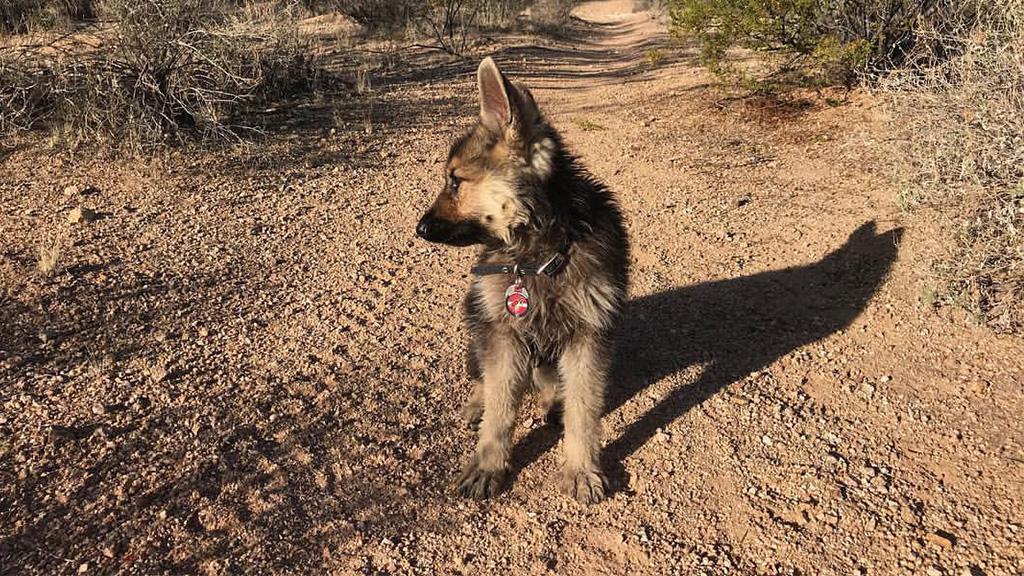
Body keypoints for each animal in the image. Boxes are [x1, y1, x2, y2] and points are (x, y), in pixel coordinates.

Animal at [413, 56, 622, 500]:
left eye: (455, 180)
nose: (419, 229)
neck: (538, 255)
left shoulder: (589, 335)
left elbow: (584, 411)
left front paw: (582, 468)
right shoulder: (503, 334)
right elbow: (500, 408)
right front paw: (487, 465)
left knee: (551, 387)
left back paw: (551, 402)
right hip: (477, 323)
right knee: (486, 382)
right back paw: (478, 403)